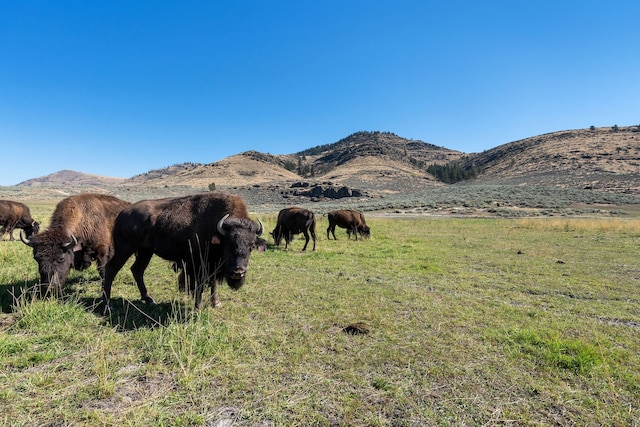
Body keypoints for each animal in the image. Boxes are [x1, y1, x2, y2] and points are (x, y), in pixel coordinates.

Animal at [100, 193, 264, 310]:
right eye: (228, 244)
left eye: (251, 245)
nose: (238, 272)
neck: (218, 231)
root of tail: (122, 213)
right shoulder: (198, 264)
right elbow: (199, 284)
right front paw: (198, 306)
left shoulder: (212, 265)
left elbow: (213, 283)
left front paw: (216, 303)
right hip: (125, 249)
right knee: (111, 269)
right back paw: (108, 304)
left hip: (146, 251)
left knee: (137, 270)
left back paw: (149, 299)